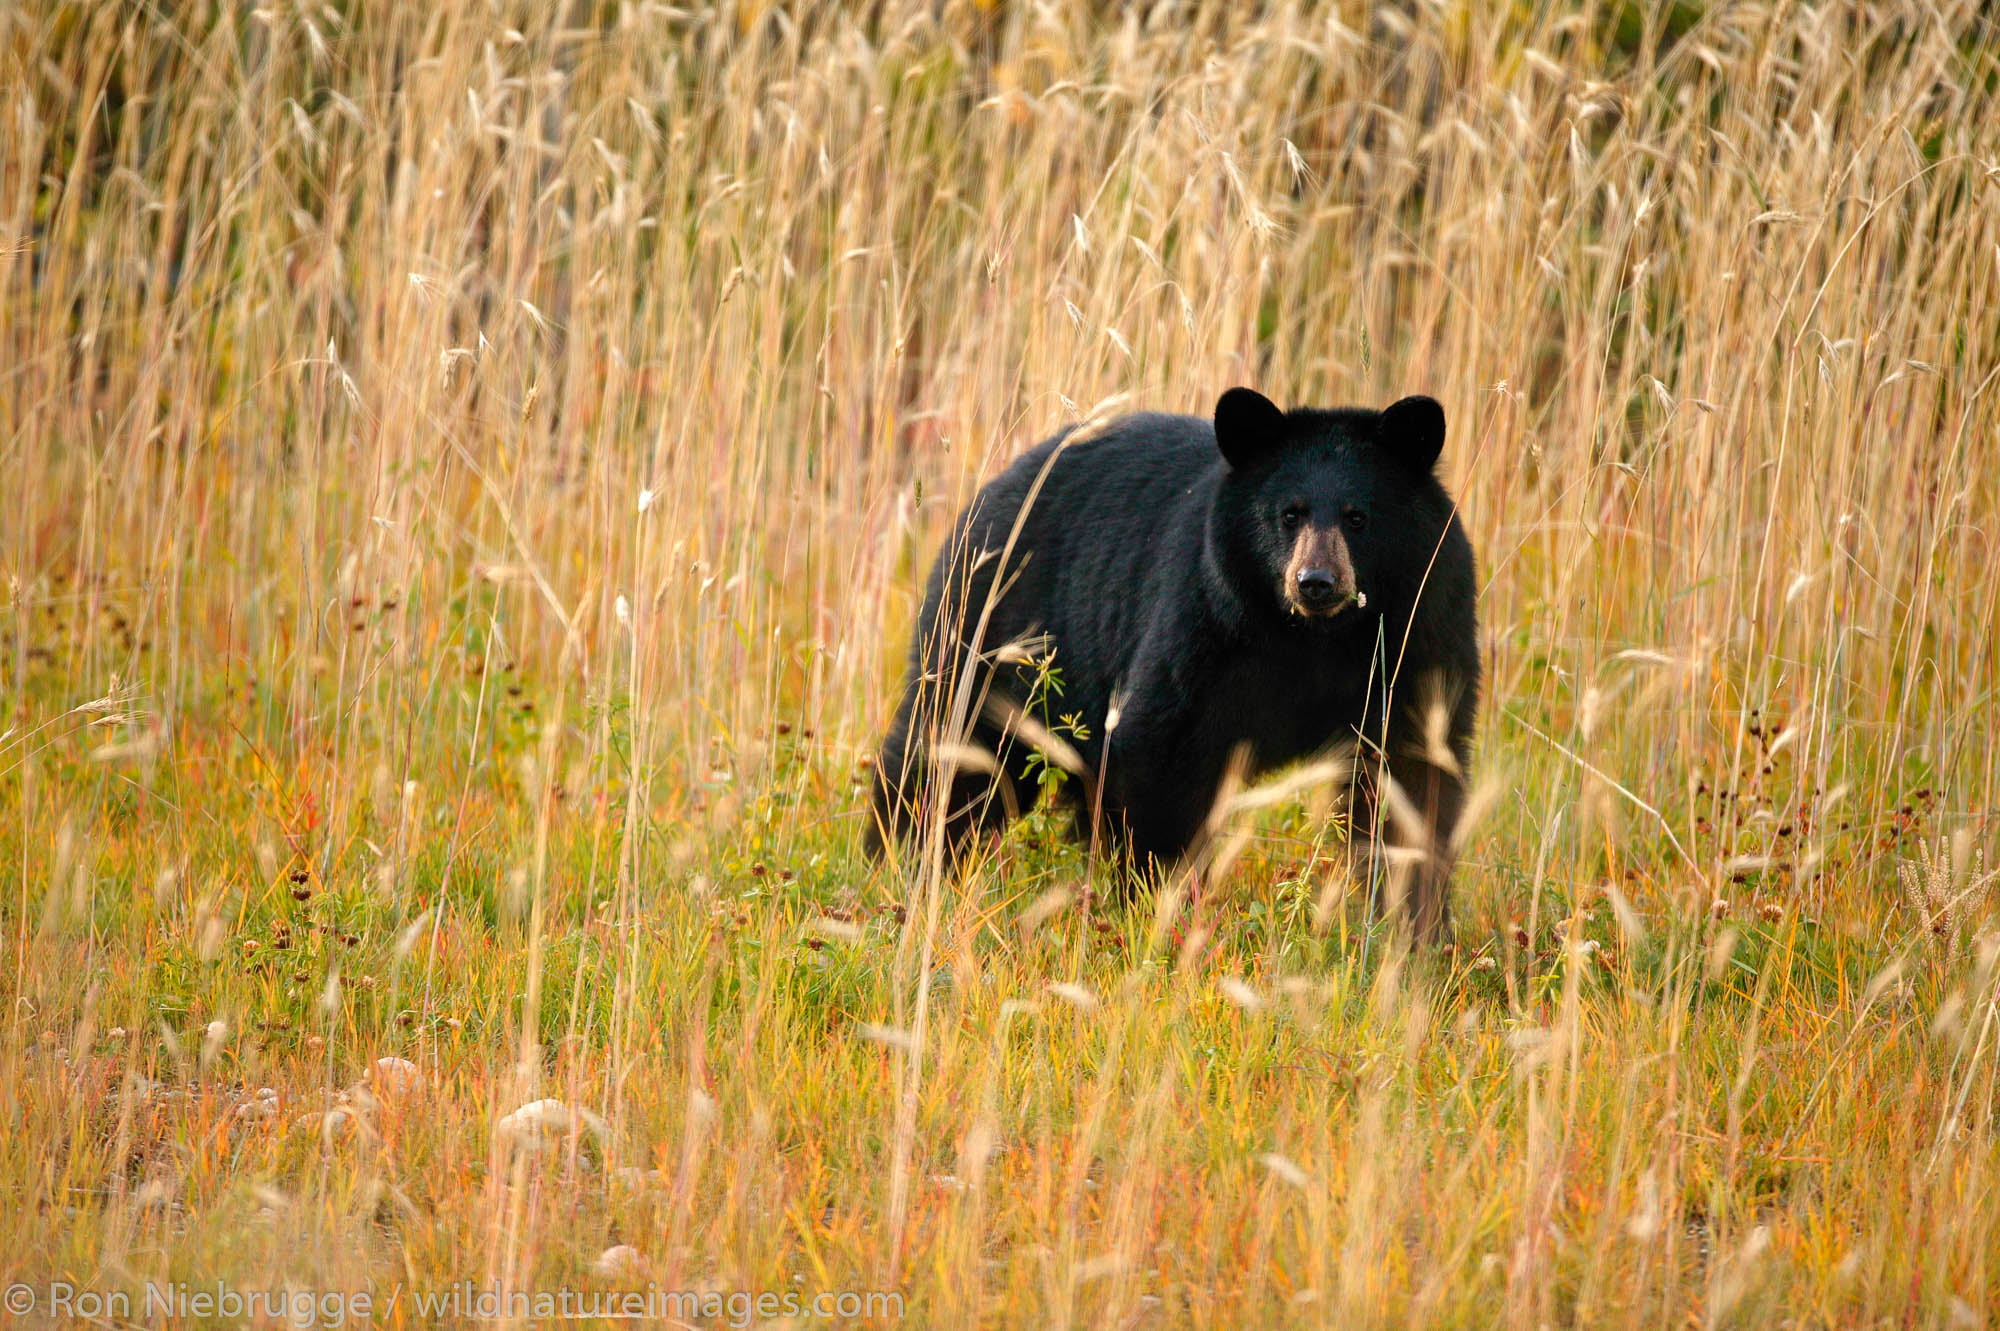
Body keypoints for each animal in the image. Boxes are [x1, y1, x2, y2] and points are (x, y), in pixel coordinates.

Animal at [867, 387, 1479, 942]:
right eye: (1289, 514)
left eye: (1357, 517)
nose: (1316, 582)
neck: (1316, 638)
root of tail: (989, 492)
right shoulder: (1206, 624)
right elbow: (1165, 753)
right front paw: (1162, 903)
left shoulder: (1419, 636)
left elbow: (1411, 776)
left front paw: (1416, 927)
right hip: (992, 628)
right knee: (951, 746)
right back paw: (902, 857)